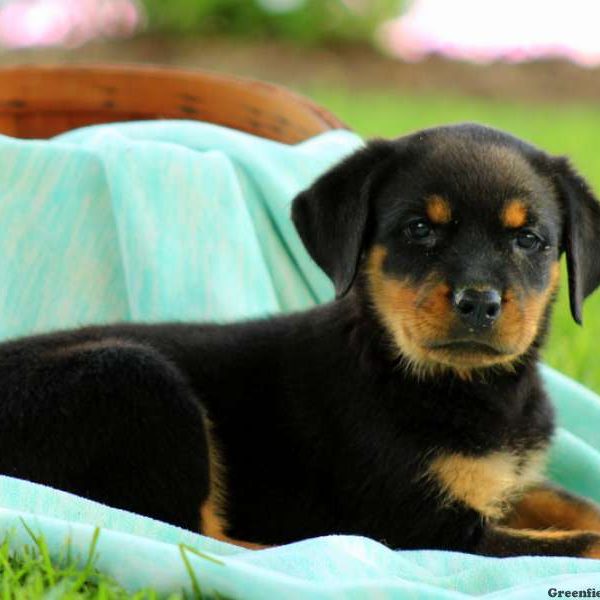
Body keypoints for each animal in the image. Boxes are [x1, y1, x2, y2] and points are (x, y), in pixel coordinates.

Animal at [1, 123, 600, 556]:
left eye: (528, 239)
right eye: (419, 229)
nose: (478, 302)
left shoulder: (508, 481)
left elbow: (575, 505)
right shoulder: (419, 522)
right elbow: (578, 542)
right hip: (135, 379)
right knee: (189, 531)